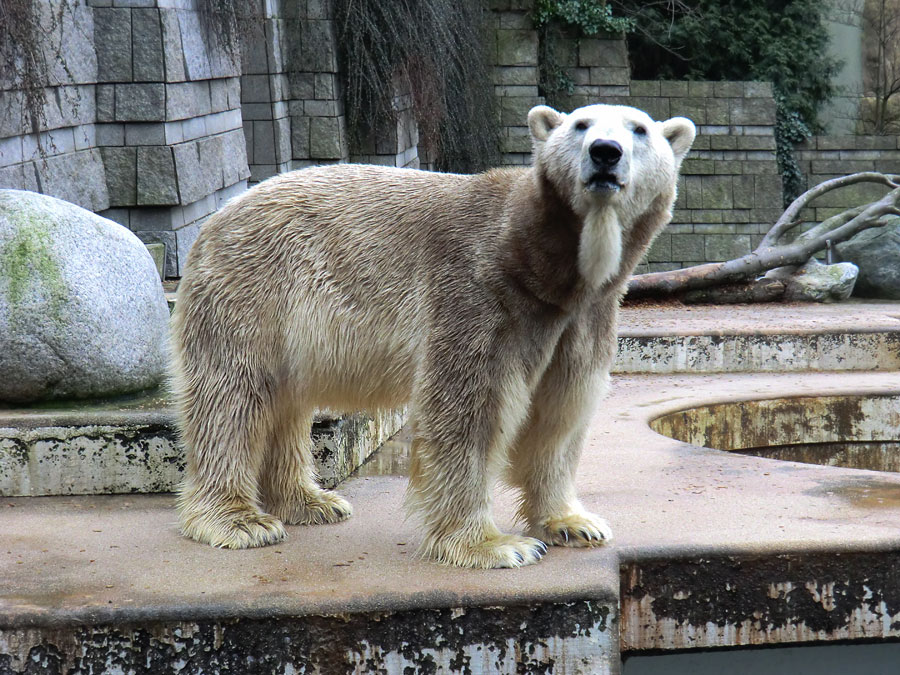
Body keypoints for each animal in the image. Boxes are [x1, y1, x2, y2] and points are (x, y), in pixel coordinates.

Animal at [174, 104, 696, 572]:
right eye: (581, 124)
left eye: (639, 129)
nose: (605, 151)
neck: (538, 261)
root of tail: (216, 219)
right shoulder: (477, 291)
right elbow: (468, 407)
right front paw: (495, 546)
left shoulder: (586, 315)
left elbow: (562, 409)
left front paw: (573, 523)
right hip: (253, 289)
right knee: (232, 397)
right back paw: (240, 521)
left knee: (283, 403)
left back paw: (312, 502)